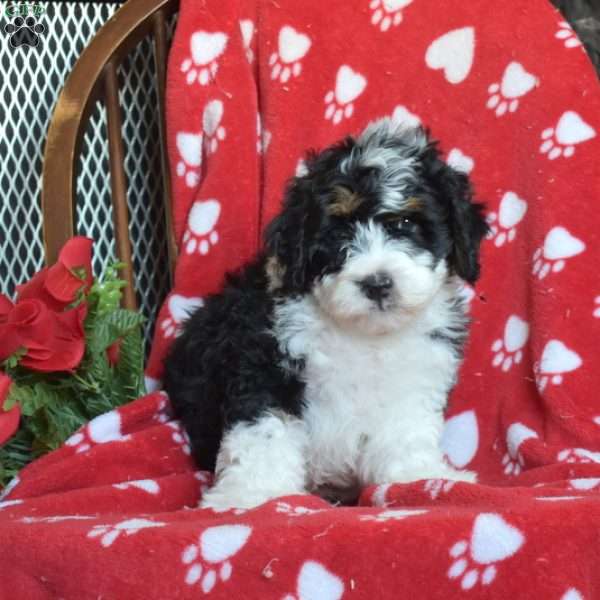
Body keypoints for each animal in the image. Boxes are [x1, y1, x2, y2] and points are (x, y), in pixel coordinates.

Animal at [163, 118, 488, 510]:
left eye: (407, 223)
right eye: (337, 233)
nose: (377, 283)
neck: (362, 334)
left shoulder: (414, 371)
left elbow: (405, 429)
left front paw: (419, 476)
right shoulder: (262, 360)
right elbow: (265, 430)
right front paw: (252, 494)